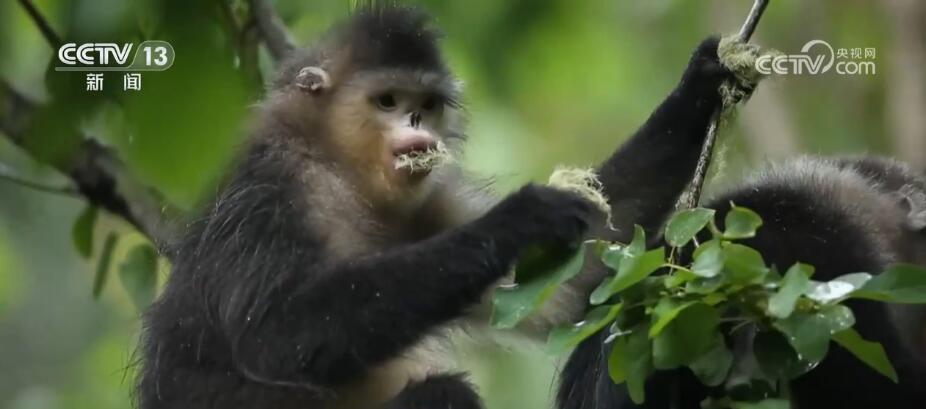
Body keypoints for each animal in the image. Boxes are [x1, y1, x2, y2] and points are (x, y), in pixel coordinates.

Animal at [136, 3, 748, 408]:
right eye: (387, 101)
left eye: (426, 104)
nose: (416, 126)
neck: (340, 171)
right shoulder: (271, 190)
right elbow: (275, 336)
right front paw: (522, 217)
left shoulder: (429, 205)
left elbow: (572, 283)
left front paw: (703, 81)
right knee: (441, 395)